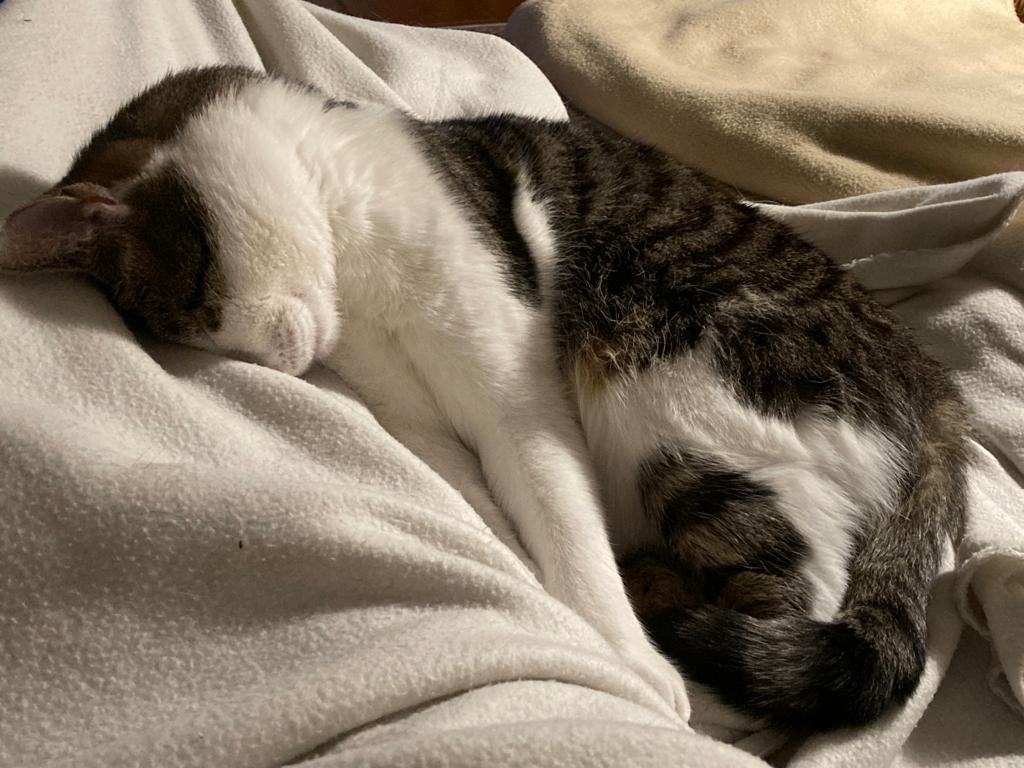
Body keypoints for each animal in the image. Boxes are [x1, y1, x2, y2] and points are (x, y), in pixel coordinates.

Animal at [0, 66, 969, 732]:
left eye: (199, 303)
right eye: (197, 338)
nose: (277, 360)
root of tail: (933, 384)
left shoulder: (518, 402)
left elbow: (562, 525)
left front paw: (624, 661)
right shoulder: (422, 419)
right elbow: (491, 515)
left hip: (666, 388)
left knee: (794, 599)